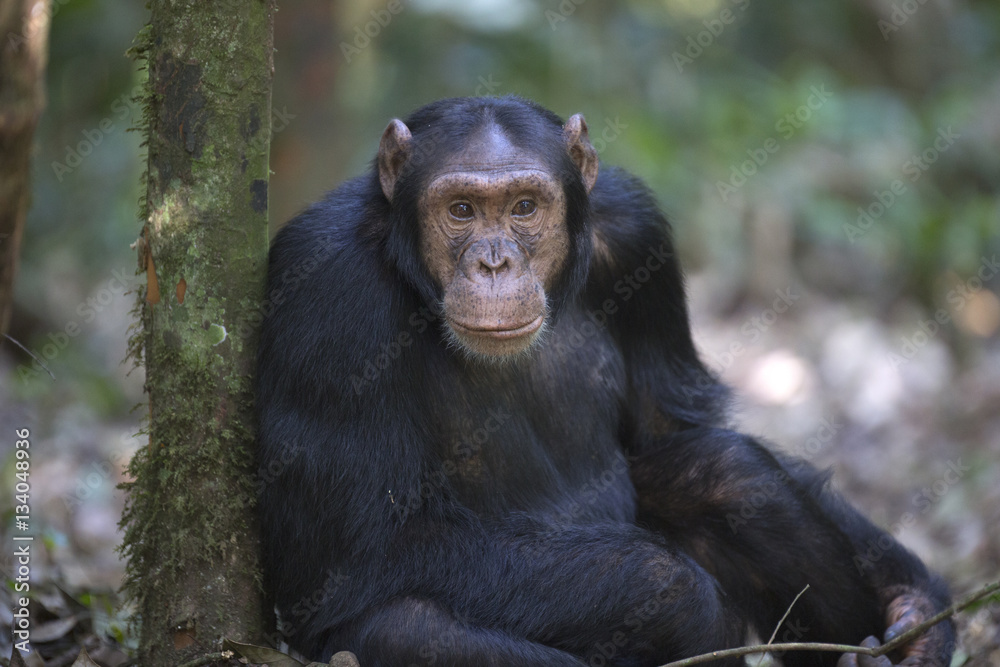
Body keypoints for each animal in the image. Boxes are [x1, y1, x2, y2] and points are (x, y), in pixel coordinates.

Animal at [256, 95, 952, 667]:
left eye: (524, 207)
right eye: (459, 210)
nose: (493, 262)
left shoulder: (639, 234)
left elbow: (673, 429)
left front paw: (916, 601)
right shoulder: (327, 287)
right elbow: (362, 545)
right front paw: (681, 602)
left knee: (730, 474)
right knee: (410, 628)